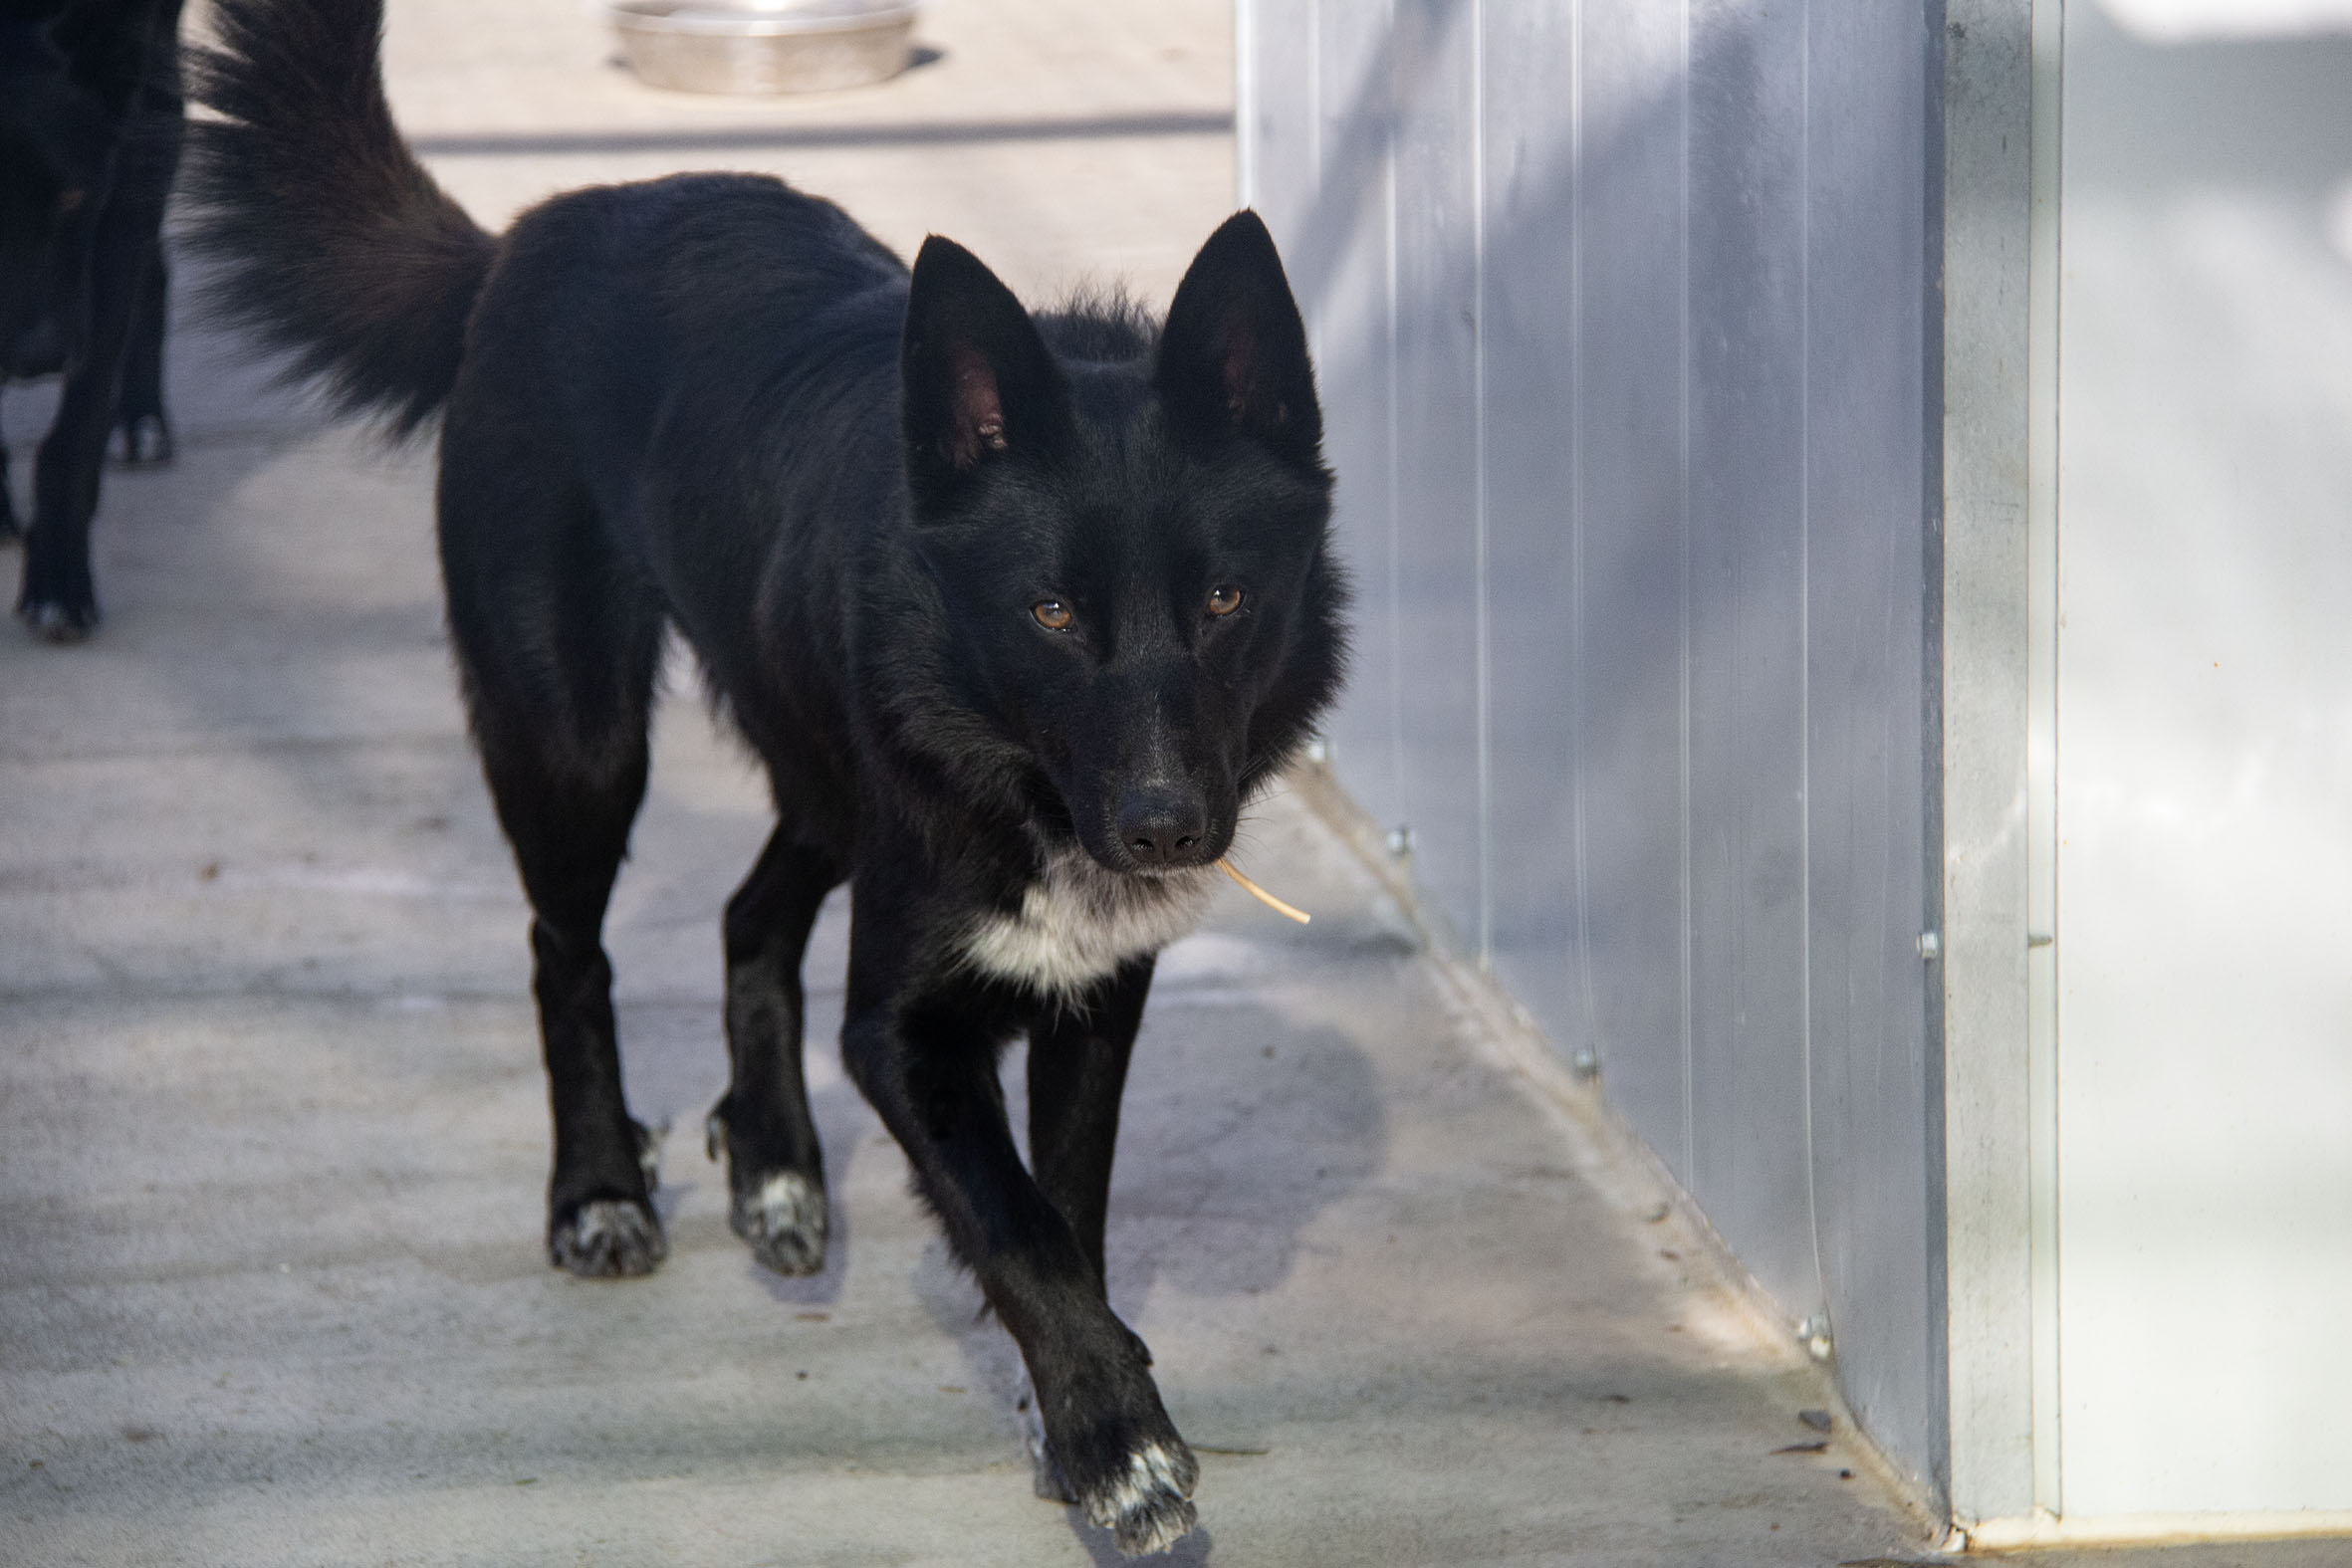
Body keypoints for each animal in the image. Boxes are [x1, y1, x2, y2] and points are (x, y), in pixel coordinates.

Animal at [185, 0, 1344, 1552]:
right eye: (1050, 612)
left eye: (1225, 598)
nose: (1163, 830)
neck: (1020, 773)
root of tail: (532, 234)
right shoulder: (901, 1032)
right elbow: (1020, 1226)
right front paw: (1120, 1444)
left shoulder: (1093, 998)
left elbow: (1068, 1209)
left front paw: (1076, 1414)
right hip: (578, 738)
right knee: (566, 951)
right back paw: (599, 1189)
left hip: (827, 774)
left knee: (749, 912)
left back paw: (778, 1157)